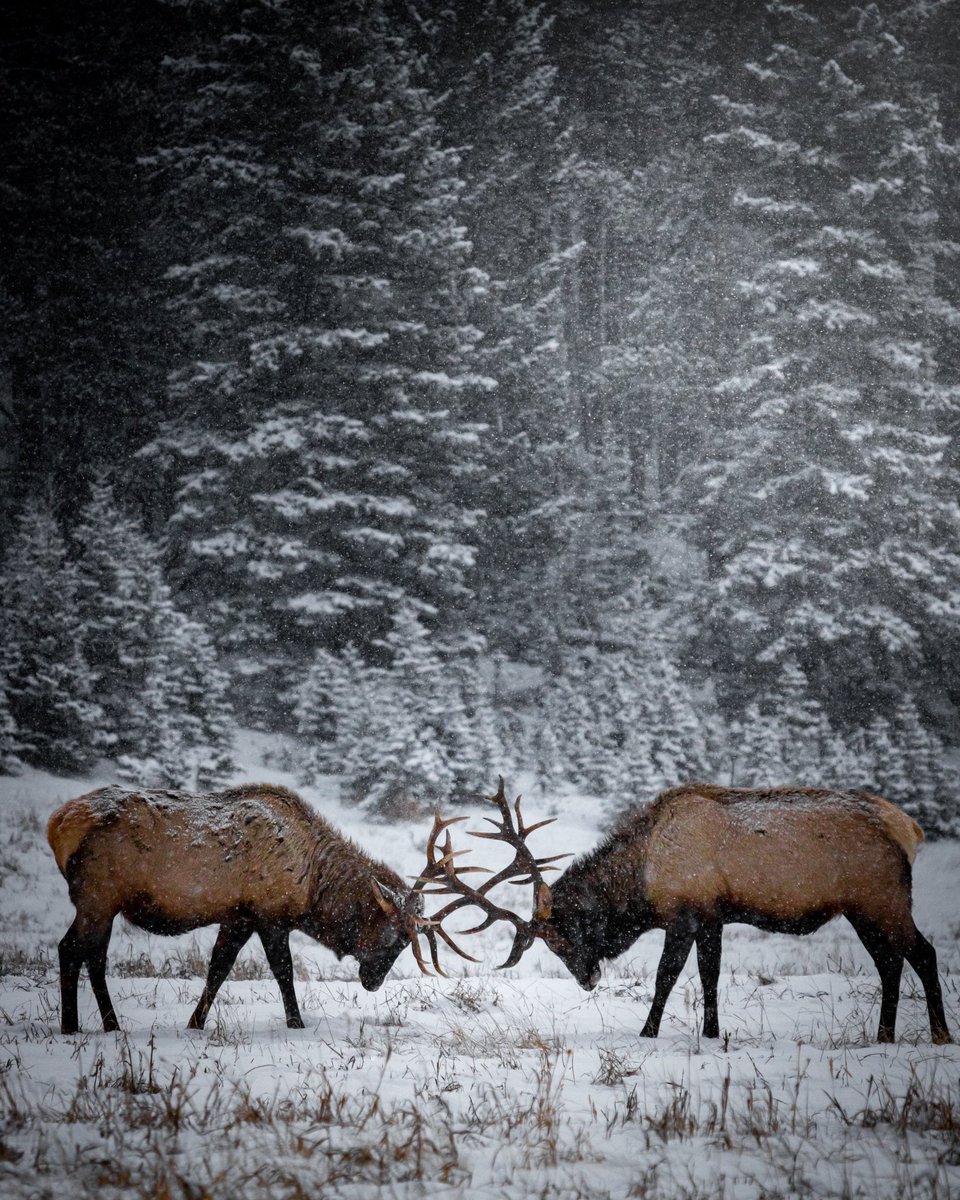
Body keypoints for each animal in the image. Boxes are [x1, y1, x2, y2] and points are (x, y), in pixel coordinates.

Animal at [47, 782, 475, 1034]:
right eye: (395, 938)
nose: (373, 982)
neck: (312, 886)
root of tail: (57, 823)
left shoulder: (238, 916)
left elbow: (217, 969)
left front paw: (195, 1022)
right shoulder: (271, 914)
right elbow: (283, 971)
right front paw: (296, 1022)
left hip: (101, 902)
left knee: (87, 954)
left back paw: (99, 1025)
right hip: (98, 896)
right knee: (74, 950)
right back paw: (81, 1026)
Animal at [432, 779, 952, 1045]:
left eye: (561, 935)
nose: (588, 979)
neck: (641, 878)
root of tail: (910, 828)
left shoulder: (685, 913)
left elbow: (667, 976)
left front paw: (648, 1032)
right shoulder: (713, 916)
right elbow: (710, 975)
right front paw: (713, 1032)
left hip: (881, 899)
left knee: (923, 954)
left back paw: (940, 1034)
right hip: (862, 909)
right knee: (890, 963)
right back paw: (884, 1035)